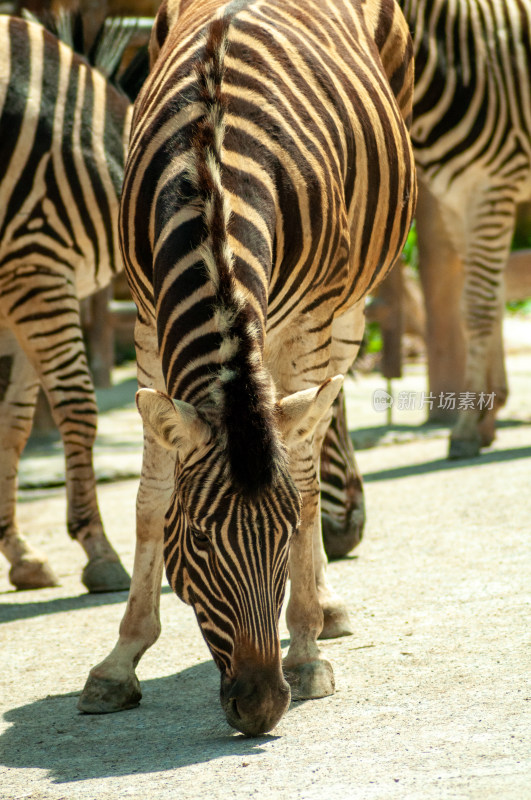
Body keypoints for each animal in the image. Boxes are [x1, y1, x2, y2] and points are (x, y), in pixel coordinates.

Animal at [0, 9, 148, 592]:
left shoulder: (22, 298)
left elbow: (15, 423)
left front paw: (19, 552)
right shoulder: (35, 271)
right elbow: (80, 408)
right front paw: (99, 551)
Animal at [78, 0, 420, 736]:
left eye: (283, 534)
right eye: (201, 539)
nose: (261, 707)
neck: (211, 171)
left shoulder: (309, 323)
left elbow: (304, 479)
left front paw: (308, 648)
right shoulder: (146, 324)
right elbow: (150, 498)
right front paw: (119, 663)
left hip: (348, 308)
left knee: (322, 422)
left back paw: (325, 611)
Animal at [318, 0, 531, 556]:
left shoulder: (491, 186)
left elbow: (477, 307)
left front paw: (466, 428)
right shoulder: (460, 196)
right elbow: (484, 299)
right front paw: (487, 413)